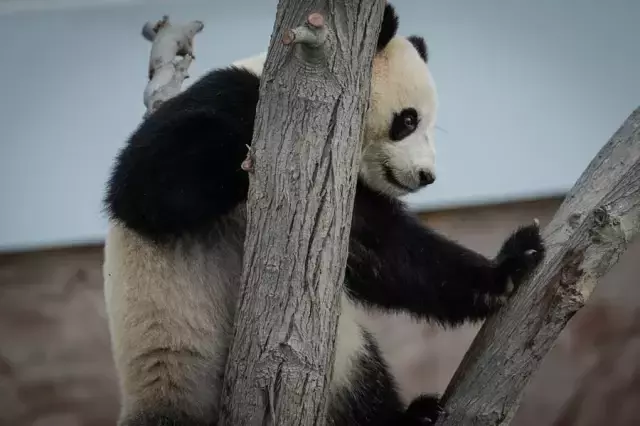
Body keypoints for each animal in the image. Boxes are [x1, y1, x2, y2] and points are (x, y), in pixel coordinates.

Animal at [103, 4, 545, 426]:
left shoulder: (339, 194)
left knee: (361, 380)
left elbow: (389, 253)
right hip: (178, 361)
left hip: (340, 361)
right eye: (408, 120)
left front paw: (510, 266)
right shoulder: (222, 94)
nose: (426, 176)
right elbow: (144, 187)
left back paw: (413, 416)